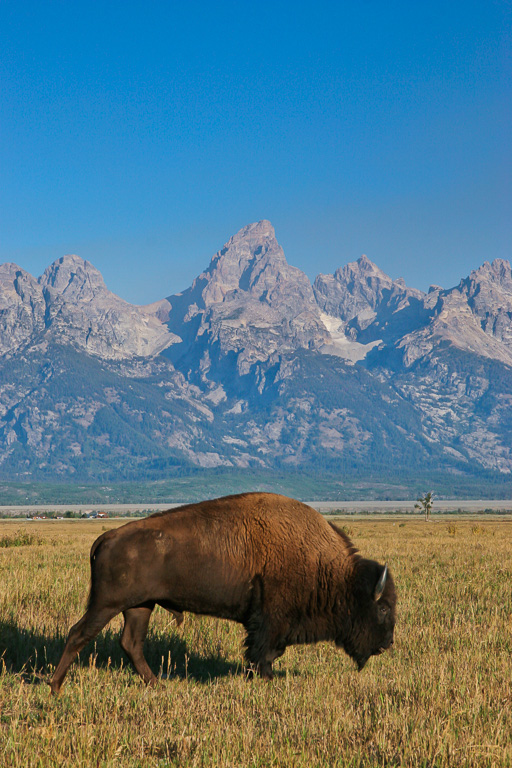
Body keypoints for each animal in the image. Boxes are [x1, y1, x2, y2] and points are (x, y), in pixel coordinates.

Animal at [50, 496, 396, 692]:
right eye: (382, 609)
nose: (387, 644)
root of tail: (108, 536)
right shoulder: (270, 621)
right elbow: (263, 652)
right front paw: (266, 680)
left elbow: (265, 652)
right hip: (106, 604)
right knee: (78, 633)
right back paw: (55, 686)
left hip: (139, 607)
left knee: (130, 643)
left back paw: (157, 685)